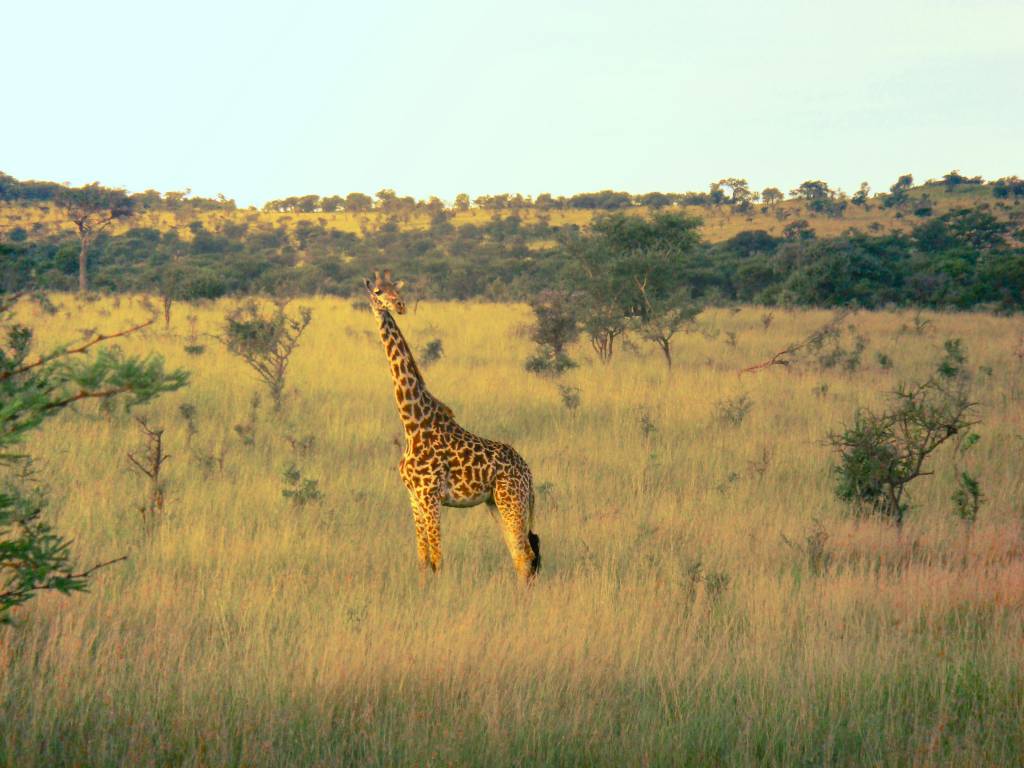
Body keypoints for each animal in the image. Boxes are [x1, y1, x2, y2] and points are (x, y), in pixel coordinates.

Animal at [362, 268, 540, 581]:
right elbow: (423, 560)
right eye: (379, 292)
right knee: (518, 554)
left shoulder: (431, 496)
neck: (412, 423)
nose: (400, 305)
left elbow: (438, 560)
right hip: (495, 502)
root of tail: (528, 473)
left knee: (525, 554)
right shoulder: (414, 497)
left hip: (511, 499)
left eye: (397, 289)